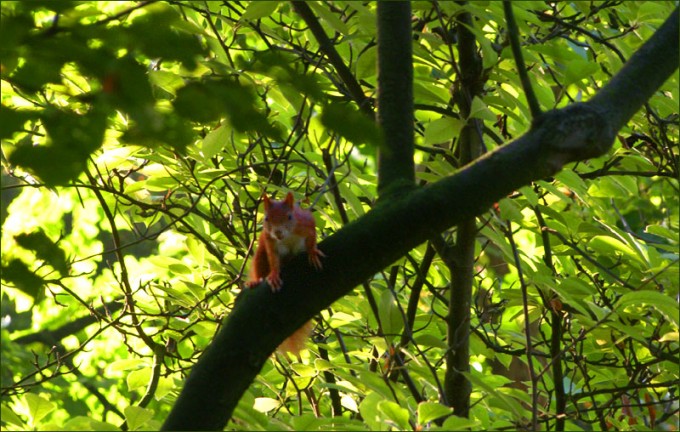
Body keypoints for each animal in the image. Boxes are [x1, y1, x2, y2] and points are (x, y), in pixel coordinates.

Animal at [246, 192, 325, 354]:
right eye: (266, 218)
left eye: (289, 216)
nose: (278, 232)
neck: (287, 236)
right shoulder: (270, 241)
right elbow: (273, 259)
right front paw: (274, 275)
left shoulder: (306, 223)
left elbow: (312, 237)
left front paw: (313, 252)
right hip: (261, 254)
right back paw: (255, 281)